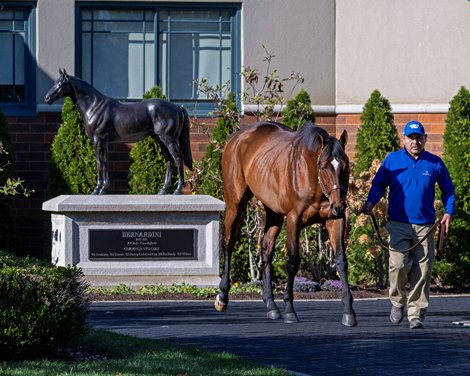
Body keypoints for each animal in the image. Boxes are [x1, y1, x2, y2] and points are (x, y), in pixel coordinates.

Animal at [44, 68, 191, 195]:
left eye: (61, 83)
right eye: (55, 82)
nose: (47, 98)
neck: (94, 107)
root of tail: (177, 107)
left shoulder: (98, 140)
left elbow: (99, 163)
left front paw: (97, 190)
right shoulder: (104, 142)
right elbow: (105, 163)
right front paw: (103, 189)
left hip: (168, 138)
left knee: (178, 158)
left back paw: (177, 190)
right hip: (160, 139)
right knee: (169, 161)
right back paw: (163, 190)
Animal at [216, 121, 356, 326]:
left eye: (346, 166)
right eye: (323, 167)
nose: (339, 206)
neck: (310, 175)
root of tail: (235, 138)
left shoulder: (334, 219)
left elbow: (340, 260)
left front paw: (348, 312)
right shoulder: (293, 218)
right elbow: (293, 260)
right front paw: (290, 309)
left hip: (273, 211)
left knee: (266, 248)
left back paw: (271, 305)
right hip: (235, 203)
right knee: (229, 242)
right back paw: (222, 296)